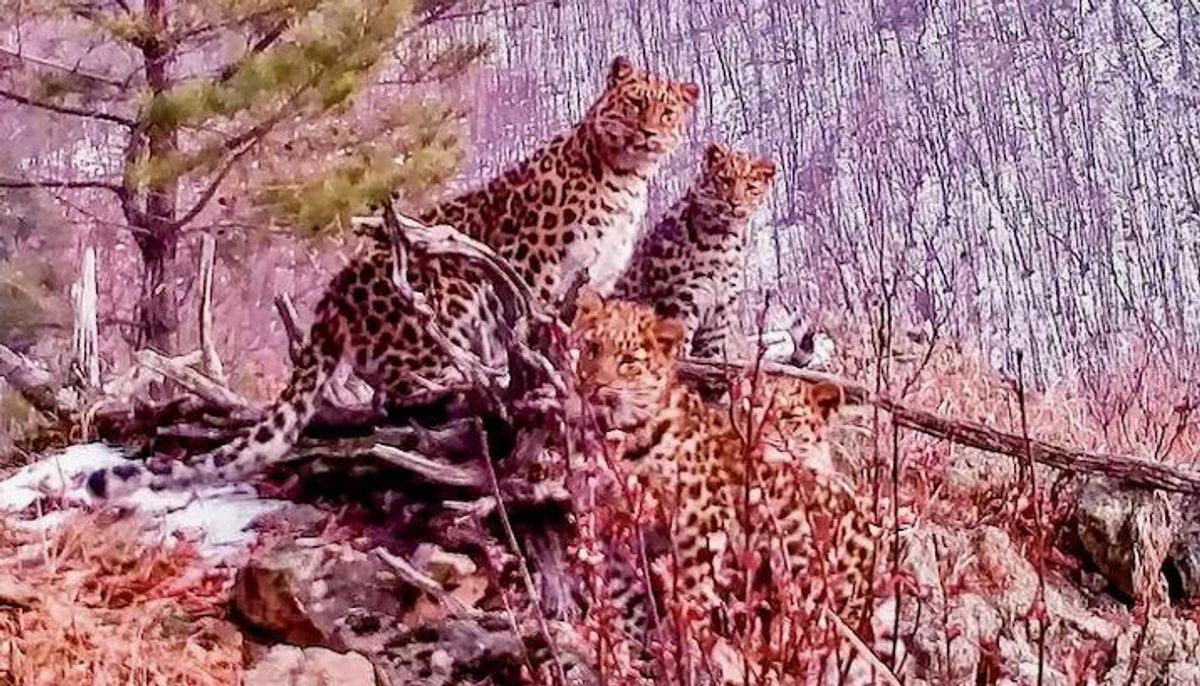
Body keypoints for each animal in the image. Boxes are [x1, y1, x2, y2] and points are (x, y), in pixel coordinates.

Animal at [86, 57, 699, 501]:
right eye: (636, 104)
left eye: (668, 113)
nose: (650, 133)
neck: (624, 180)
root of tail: (332, 298)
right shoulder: (536, 268)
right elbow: (533, 327)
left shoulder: (596, 282)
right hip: (446, 292)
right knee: (397, 389)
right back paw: (458, 380)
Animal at [570, 291, 882, 684]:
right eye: (592, 347)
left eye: (628, 361)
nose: (594, 385)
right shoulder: (612, 531)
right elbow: (628, 602)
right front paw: (636, 656)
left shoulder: (697, 524)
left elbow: (690, 598)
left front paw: (687, 655)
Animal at [611, 143, 776, 360]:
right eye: (725, 181)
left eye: (750, 188)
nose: (735, 202)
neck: (725, 240)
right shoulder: (682, 300)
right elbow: (680, 346)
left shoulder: (721, 308)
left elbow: (711, 352)